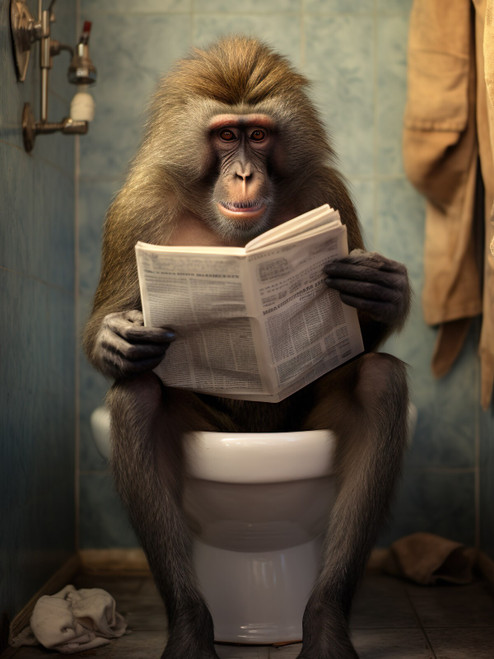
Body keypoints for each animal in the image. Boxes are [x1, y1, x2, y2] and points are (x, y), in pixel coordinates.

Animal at [84, 37, 410, 659]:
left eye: (258, 135)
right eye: (224, 135)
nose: (241, 174)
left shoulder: (326, 195)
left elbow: (361, 343)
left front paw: (383, 290)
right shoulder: (137, 208)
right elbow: (109, 330)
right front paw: (116, 339)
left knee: (379, 383)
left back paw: (324, 623)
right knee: (136, 399)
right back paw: (191, 627)